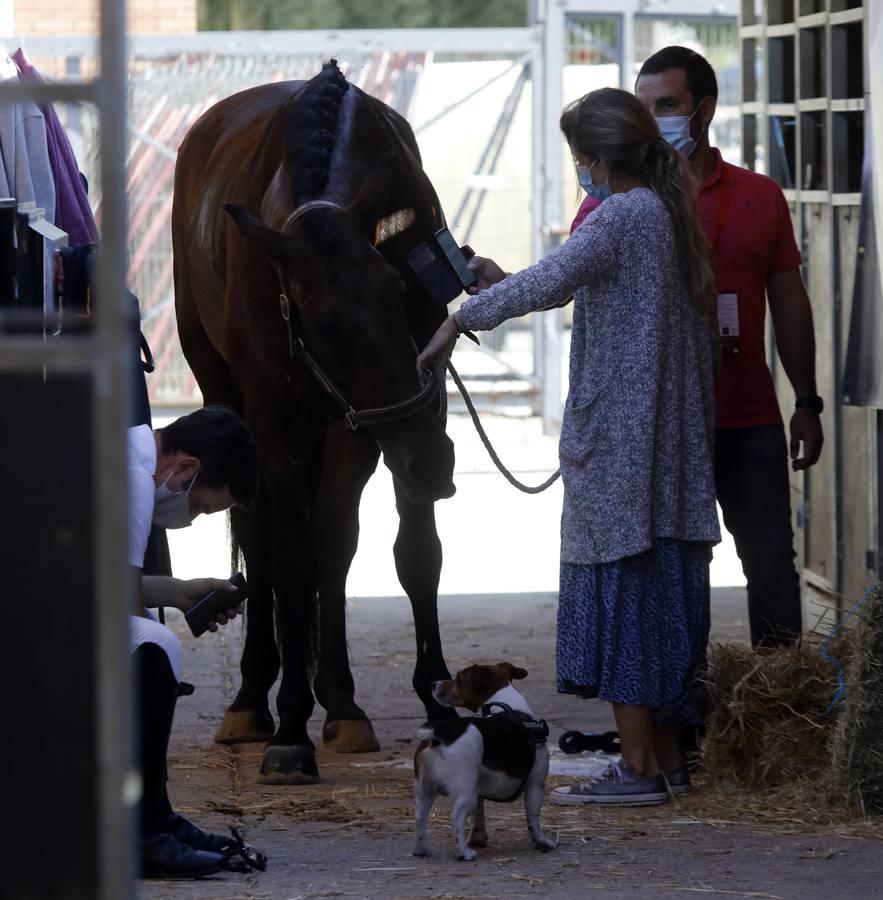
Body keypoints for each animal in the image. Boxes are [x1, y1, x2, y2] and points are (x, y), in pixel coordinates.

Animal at [174, 61, 462, 780]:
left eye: (399, 292)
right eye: (324, 324)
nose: (433, 462)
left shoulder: (376, 422)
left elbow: (374, 547)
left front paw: (356, 703)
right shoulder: (275, 425)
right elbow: (292, 558)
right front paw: (290, 728)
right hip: (226, 396)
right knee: (259, 539)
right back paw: (252, 699)